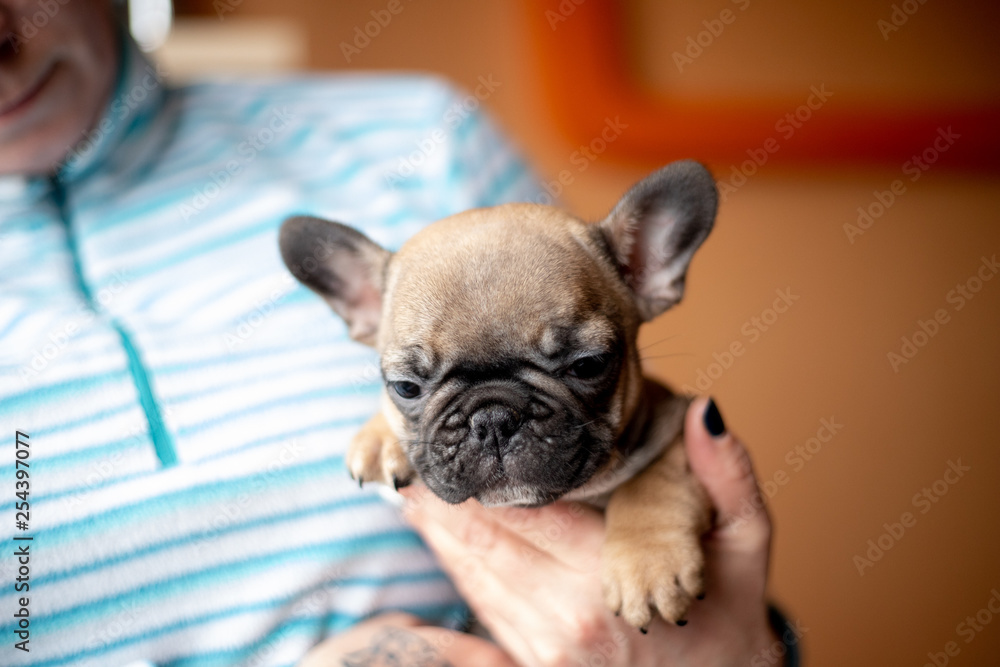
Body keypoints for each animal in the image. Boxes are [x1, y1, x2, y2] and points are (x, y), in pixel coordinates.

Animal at [282, 159, 720, 628]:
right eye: (406, 387)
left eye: (588, 365)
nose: (493, 418)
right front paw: (380, 439)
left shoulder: (676, 424)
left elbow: (653, 479)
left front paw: (650, 562)